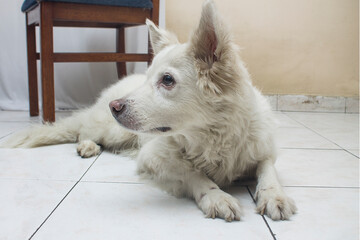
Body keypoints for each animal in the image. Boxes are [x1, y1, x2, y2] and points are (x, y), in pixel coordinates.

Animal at [2, 0, 296, 221]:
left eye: (167, 80)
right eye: (148, 77)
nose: (115, 107)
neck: (212, 135)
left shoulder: (264, 150)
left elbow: (267, 170)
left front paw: (274, 195)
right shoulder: (153, 156)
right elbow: (193, 173)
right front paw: (216, 196)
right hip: (114, 131)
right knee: (83, 132)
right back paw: (87, 145)